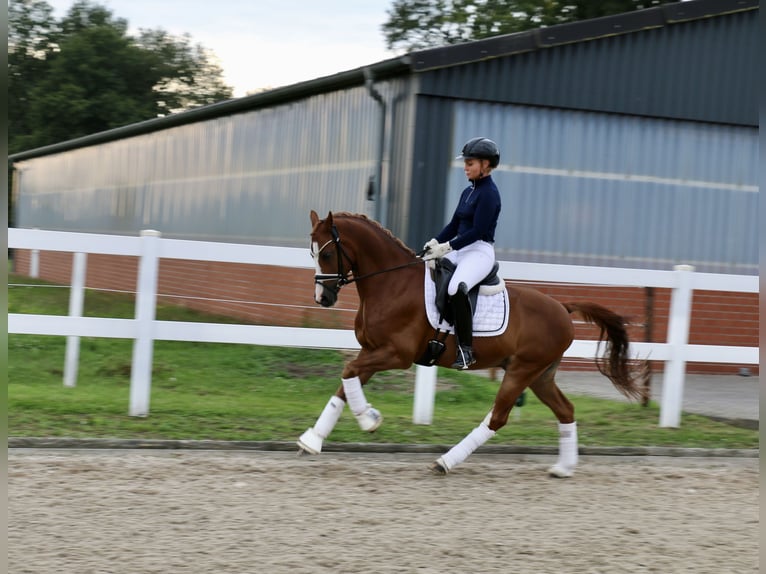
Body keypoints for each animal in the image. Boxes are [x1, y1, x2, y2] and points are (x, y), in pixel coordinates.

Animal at [296, 212, 644, 476]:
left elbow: (348, 371)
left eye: (326, 254)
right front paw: (314, 439)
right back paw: (563, 468)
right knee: (565, 409)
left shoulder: (396, 354)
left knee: (497, 418)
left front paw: (369, 419)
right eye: (312, 254)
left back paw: (445, 462)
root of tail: (562, 307)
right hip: (540, 375)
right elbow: (347, 381)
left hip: (522, 371)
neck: (391, 283)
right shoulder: (372, 351)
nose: (322, 298)